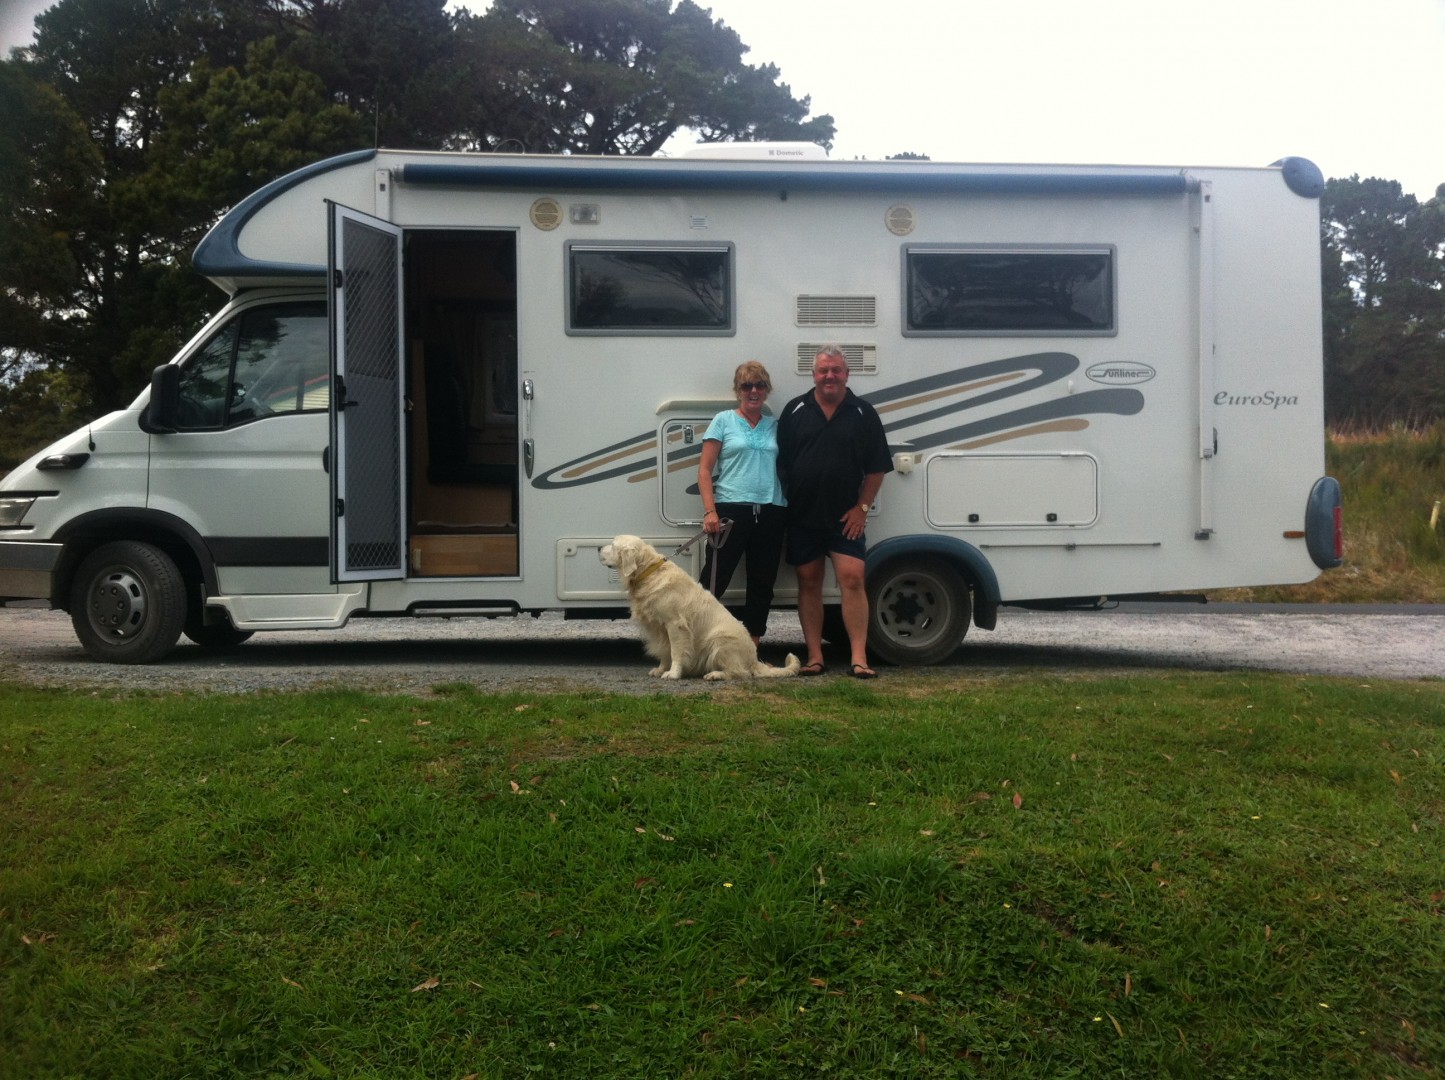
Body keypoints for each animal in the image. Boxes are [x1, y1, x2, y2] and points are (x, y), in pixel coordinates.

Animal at [599, 534, 801, 680]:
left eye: (613, 544)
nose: (599, 548)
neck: (649, 572)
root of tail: (754, 659)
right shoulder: (659, 628)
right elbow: (665, 651)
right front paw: (661, 669)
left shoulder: (675, 625)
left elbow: (676, 651)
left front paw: (673, 673)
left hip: (719, 642)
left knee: (740, 672)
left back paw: (716, 674)